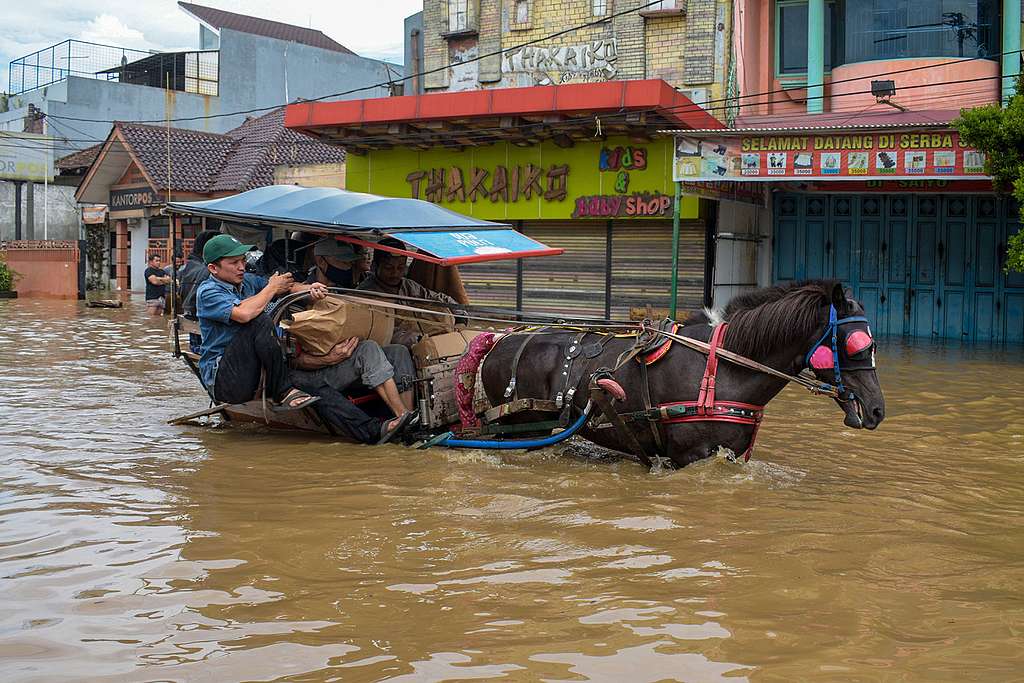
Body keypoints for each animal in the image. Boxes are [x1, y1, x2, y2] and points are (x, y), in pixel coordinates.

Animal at [479, 278, 888, 471]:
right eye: (856, 344)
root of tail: (499, 340)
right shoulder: (690, 456)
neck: (727, 368)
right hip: (517, 428)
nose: (877, 410)